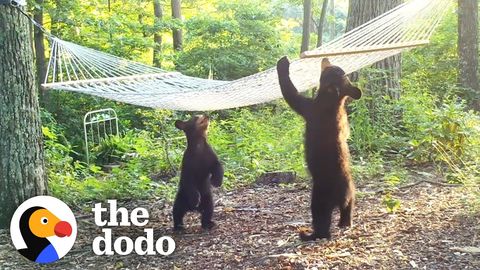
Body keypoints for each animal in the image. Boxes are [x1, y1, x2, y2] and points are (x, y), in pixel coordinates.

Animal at [278, 55, 360, 240]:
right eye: (339, 69)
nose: (326, 60)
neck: (332, 100)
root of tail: (342, 193)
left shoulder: (308, 107)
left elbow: (290, 92)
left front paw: (283, 64)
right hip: (351, 190)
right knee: (349, 206)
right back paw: (345, 223)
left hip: (319, 197)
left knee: (321, 218)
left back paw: (310, 234)